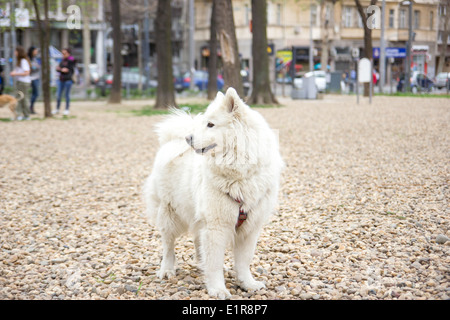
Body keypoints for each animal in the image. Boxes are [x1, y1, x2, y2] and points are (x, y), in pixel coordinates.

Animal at [142, 87, 284, 298]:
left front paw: (247, 283)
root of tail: (171, 141)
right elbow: (215, 263)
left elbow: (244, 261)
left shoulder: (250, 228)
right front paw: (218, 289)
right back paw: (166, 270)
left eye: (210, 125)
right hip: (169, 214)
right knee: (168, 246)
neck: (239, 173)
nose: (188, 138)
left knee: (198, 242)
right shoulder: (217, 226)